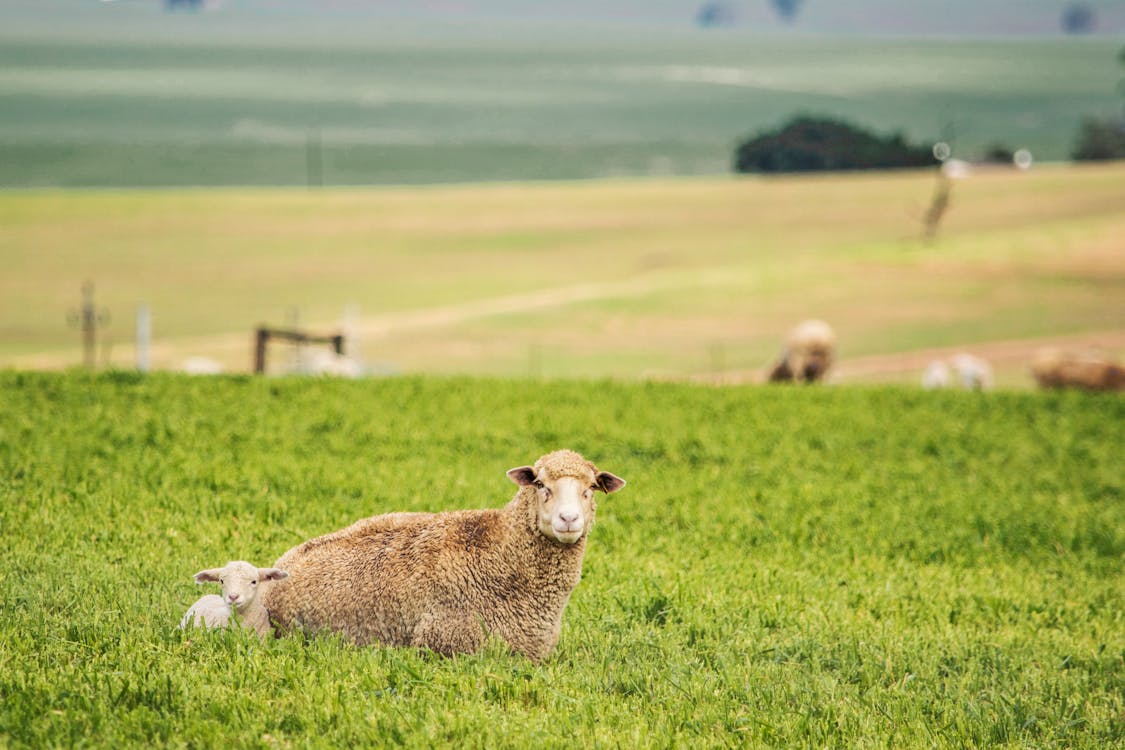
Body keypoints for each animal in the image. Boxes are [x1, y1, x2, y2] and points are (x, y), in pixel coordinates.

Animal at [265, 449, 634, 661]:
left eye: (590, 488)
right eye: (541, 485)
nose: (569, 519)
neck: (501, 553)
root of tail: (284, 561)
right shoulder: (448, 645)